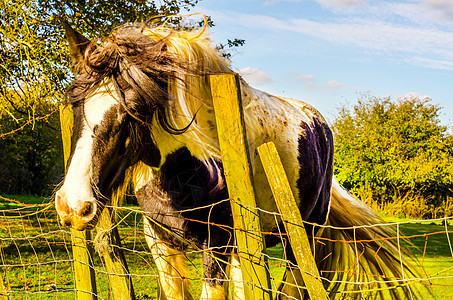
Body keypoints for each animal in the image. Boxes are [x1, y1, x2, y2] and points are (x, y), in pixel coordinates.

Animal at [54, 19, 422, 298]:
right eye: (75, 103)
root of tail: (318, 123)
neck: (184, 169)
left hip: (302, 238)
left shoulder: (217, 244)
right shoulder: (160, 243)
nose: (73, 205)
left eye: (134, 109)